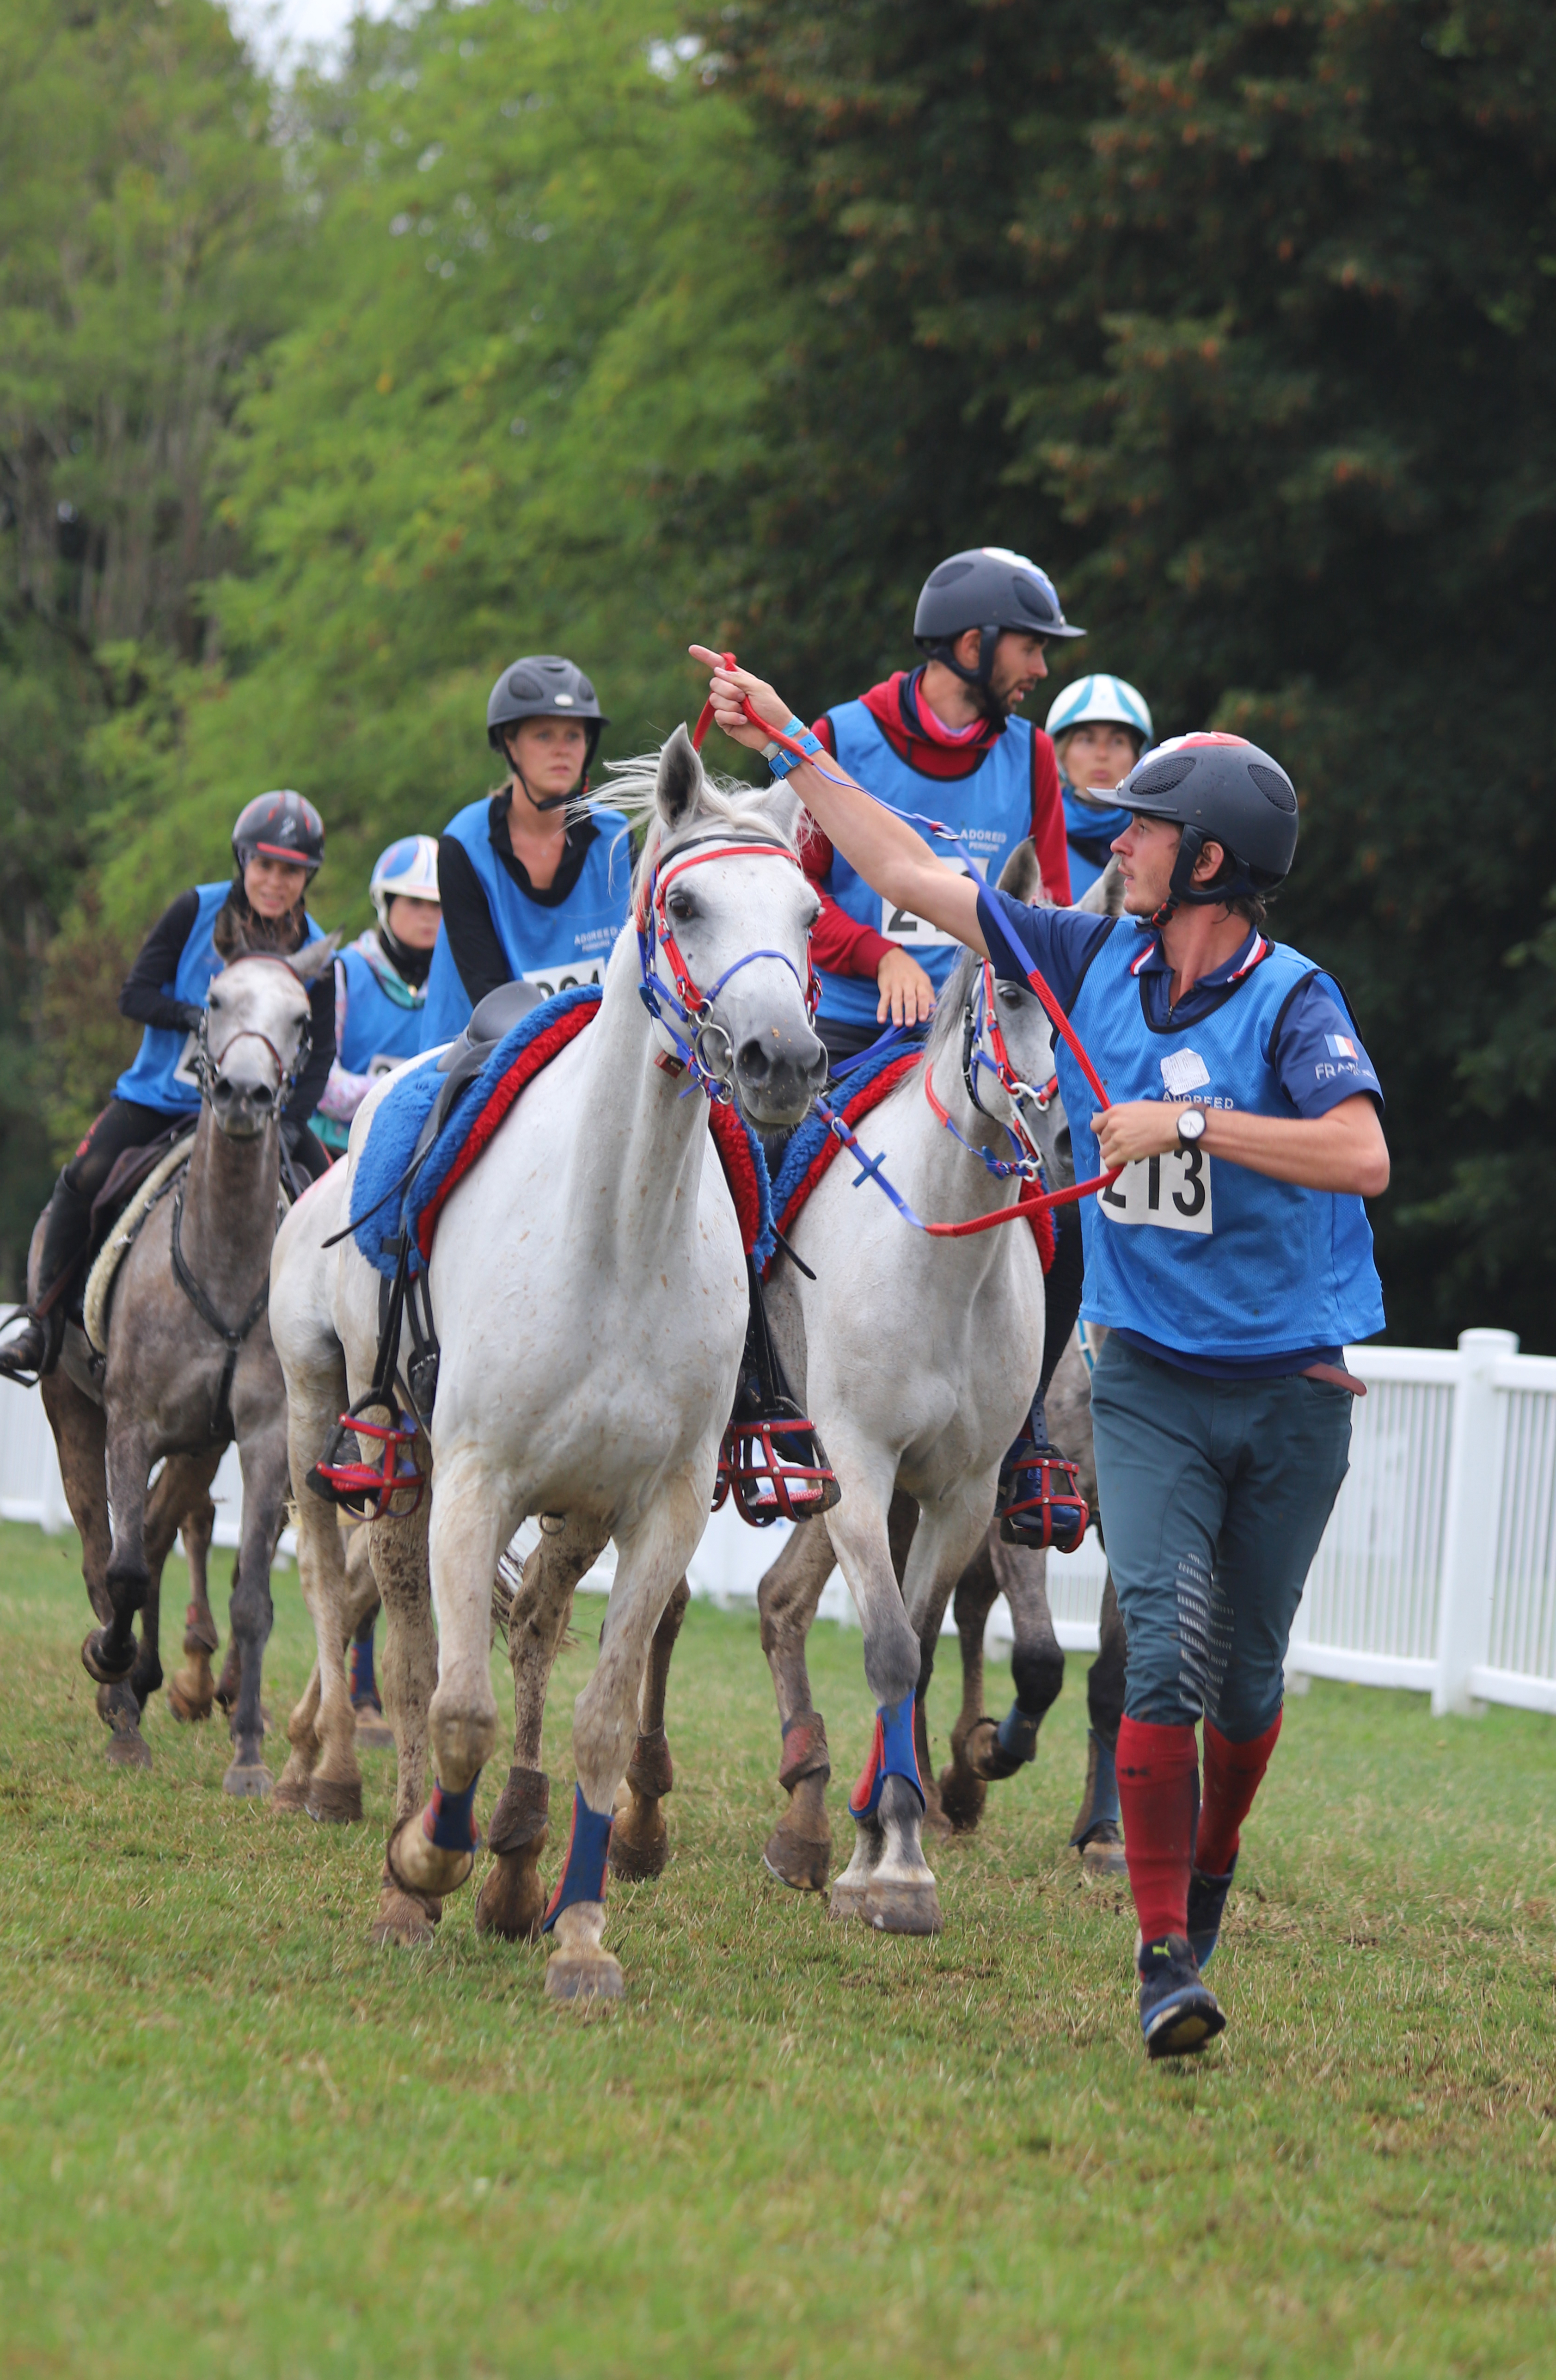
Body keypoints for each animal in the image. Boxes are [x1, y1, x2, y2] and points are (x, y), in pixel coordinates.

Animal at [271, 733, 828, 1999]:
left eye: (809, 914)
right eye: (686, 902)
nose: (781, 1058)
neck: (616, 1236)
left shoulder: (660, 1506)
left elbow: (602, 1718)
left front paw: (577, 1934)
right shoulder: (472, 1482)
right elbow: (457, 1705)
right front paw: (423, 1863)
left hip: (576, 1506)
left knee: (529, 1630)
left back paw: (519, 1869)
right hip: (376, 1455)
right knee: (399, 1641)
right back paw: (406, 1841)